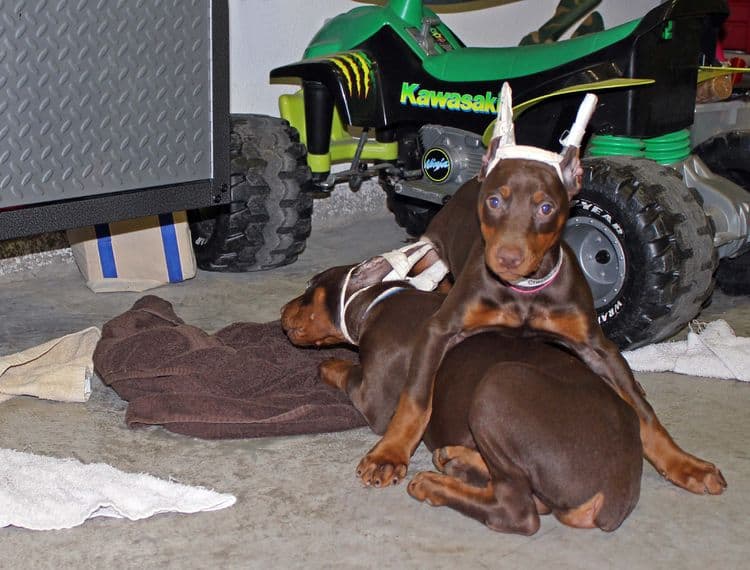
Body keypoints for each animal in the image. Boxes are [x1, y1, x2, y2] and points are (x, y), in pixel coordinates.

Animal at [282, 266, 640, 532]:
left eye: (310, 287)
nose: (282, 310)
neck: (377, 301)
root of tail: (615, 494)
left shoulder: (374, 397)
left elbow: (348, 374)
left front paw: (329, 364)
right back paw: (456, 459)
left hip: (498, 385)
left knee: (519, 511)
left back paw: (434, 485)